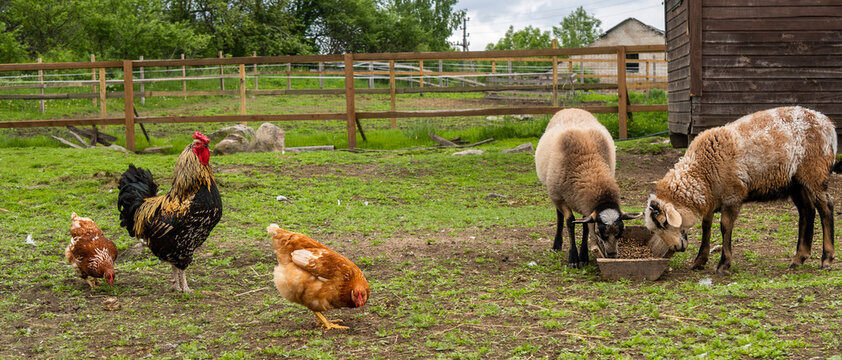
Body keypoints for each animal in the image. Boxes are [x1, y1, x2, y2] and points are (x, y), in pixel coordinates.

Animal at [536, 108, 640, 266]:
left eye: (620, 233)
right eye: (599, 233)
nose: (612, 255)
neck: (589, 167)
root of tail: (570, 108)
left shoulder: (585, 204)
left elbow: (585, 225)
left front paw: (584, 256)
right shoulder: (560, 198)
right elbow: (570, 222)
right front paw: (573, 258)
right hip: (554, 193)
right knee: (559, 215)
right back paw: (557, 244)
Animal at [644, 105, 832, 274]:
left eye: (664, 223)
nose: (676, 247)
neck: (702, 172)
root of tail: (825, 122)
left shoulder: (732, 196)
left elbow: (725, 226)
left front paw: (723, 265)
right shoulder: (712, 198)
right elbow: (706, 226)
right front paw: (699, 261)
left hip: (815, 172)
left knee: (826, 209)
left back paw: (827, 259)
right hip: (795, 182)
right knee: (807, 211)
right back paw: (799, 259)